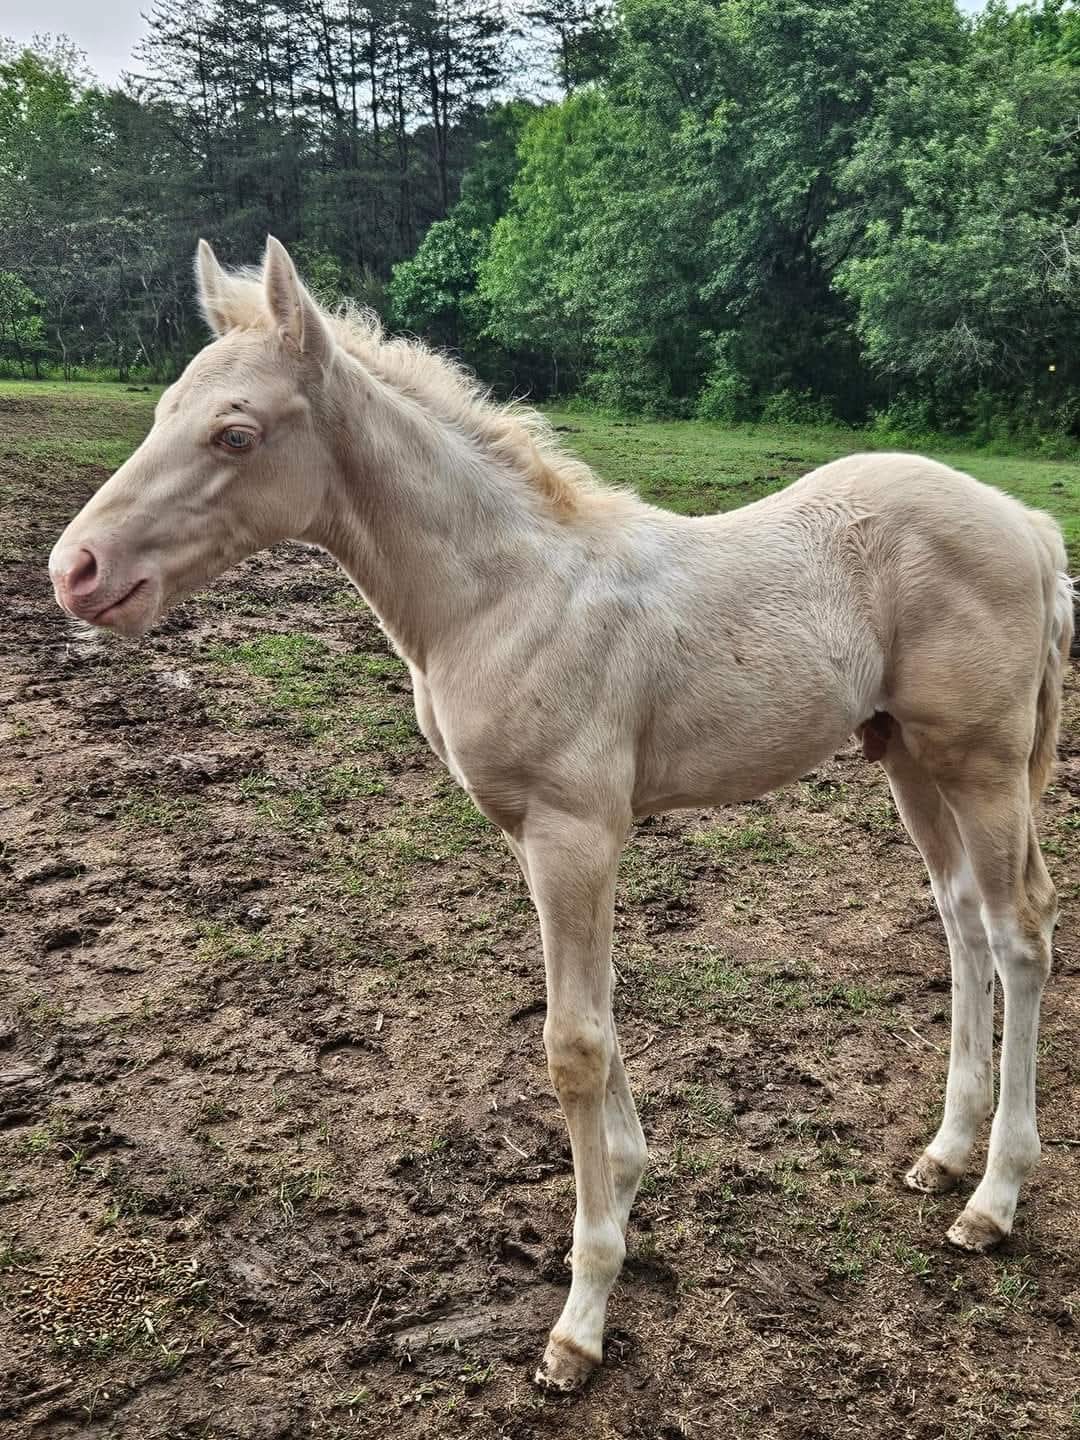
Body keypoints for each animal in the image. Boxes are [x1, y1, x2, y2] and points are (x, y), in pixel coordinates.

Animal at [49, 237, 1073, 1391]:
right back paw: (944, 1153)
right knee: (959, 918)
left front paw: (580, 1317)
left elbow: (572, 1044)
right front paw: (623, 1186)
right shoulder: (544, 838)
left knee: (1020, 931)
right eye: (161, 409)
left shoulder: (573, 833)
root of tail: (1029, 526)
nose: (76, 571)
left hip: (982, 761)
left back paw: (994, 1197)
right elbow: (606, 1014)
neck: (503, 595)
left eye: (236, 433)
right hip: (905, 753)